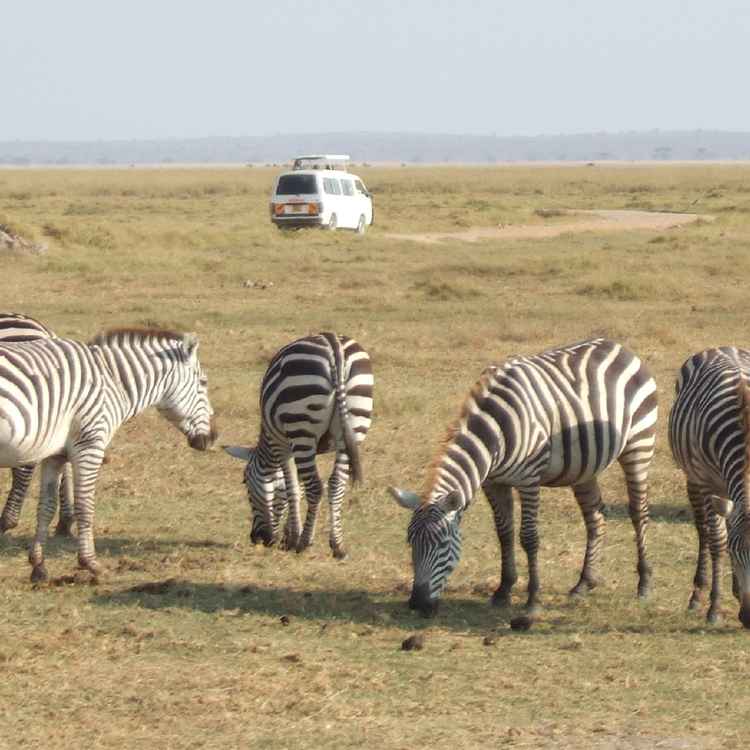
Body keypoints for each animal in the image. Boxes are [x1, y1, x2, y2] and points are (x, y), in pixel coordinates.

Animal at [224, 332, 373, 559]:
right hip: (354, 424)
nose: (257, 539)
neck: (268, 445)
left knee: (316, 487)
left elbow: (292, 487)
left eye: (245, 482)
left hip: (301, 423)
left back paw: (304, 543)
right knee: (336, 483)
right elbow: (297, 487)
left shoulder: (282, 445)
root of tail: (334, 346)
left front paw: (292, 538)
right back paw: (337, 546)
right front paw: (289, 534)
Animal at [389, 338, 658, 618]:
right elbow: (504, 533)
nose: (417, 603)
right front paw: (503, 589)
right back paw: (584, 583)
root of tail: (618, 346)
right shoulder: (493, 483)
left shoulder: (529, 479)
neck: (495, 433)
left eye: (442, 544)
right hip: (584, 467)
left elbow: (528, 537)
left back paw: (644, 583)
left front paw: (532, 600)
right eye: (410, 542)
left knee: (638, 511)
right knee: (595, 516)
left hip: (639, 444)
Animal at [668, 346, 750, 628]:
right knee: (704, 530)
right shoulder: (707, 484)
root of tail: (723, 347)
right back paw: (698, 594)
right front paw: (714, 608)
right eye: (735, 555)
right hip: (694, 478)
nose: (749, 618)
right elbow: (718, 541)